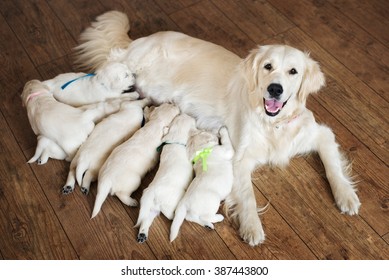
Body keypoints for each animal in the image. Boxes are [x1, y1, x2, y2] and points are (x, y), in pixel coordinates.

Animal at [136, 113, 197, 243]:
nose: (191, 115)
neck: (175, 141)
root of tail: (151, 192)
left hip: (152, 207)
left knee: (145, 219)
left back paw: (142, 235)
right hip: (170, 203)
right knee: (169, 215)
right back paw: (174, 217)